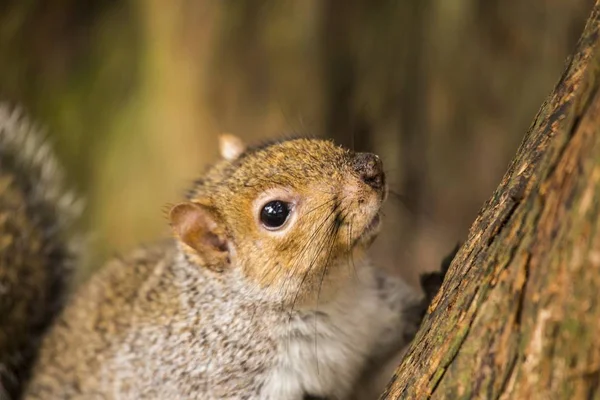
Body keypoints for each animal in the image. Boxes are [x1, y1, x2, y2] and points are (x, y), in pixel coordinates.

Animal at [0, 104, 450, 398]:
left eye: (295, 141)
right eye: (274, 213)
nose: (372, 167)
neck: (332, 296)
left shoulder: (376, 313)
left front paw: (436, 281)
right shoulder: (214, 382)